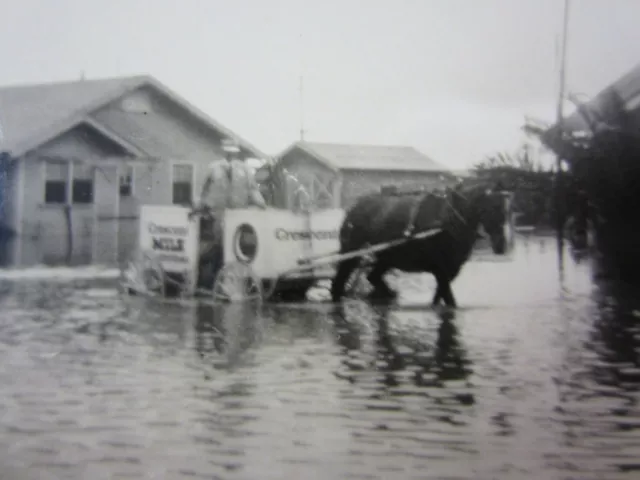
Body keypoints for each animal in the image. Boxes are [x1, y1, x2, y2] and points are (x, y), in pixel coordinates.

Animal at [330, 180, 510, 308]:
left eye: (508, 208)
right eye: (493, 207)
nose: (501, 245)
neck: (448, 219)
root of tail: (354, 208)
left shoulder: (451, 270)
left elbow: (439, 298)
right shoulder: (440, 270)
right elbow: (449, 300)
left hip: (387, 256)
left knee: (373, 277)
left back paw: (386, 295)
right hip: (351, 251)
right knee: (339, 283)